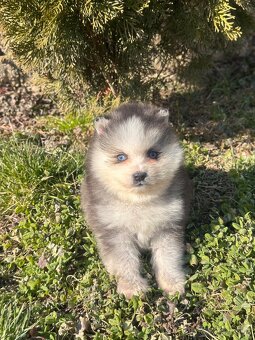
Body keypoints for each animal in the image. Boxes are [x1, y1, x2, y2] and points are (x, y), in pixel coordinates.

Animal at [80, 101, 190, 298]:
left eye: (153, 154)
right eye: (121, 157)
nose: (140, 175)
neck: (139, 201)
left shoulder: (168, 227)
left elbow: (168, 257)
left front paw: (172, 283)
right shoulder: (116, 231)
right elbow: (124, 260)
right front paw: (132, 287)